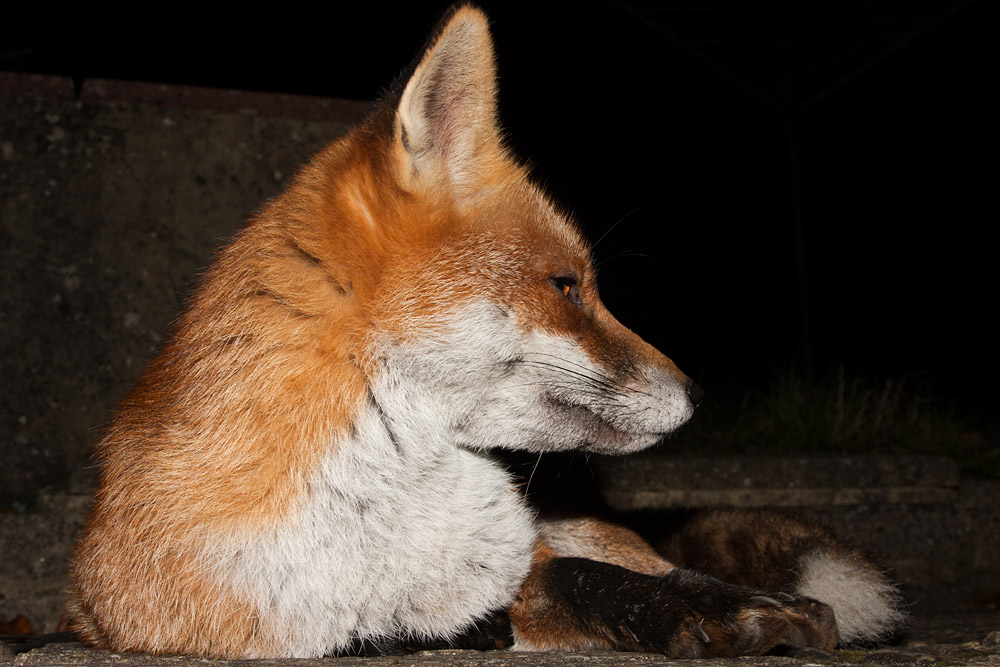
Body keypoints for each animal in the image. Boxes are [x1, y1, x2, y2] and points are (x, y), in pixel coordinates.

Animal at [68, 4, 905, 659]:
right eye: (566, 287)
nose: (698, 393)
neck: (381, 499)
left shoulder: (524, 559)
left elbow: (596, 580)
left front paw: (717, 605)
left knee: (646, 558)